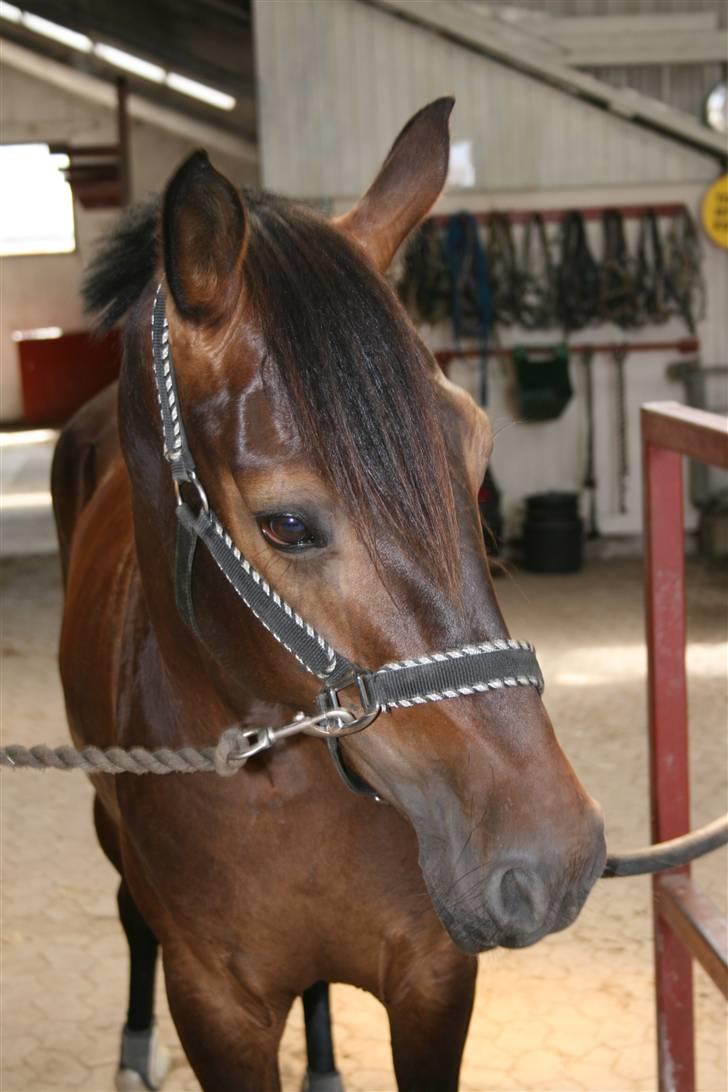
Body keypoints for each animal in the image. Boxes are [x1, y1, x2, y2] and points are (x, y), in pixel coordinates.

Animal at [51, 96, 606, 1092]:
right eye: (286, 525)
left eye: (478, 452)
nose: (555, 859)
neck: (290, 790)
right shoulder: (217, 1011)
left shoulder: (434, 985)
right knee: (128, 914)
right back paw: (133, 1046)